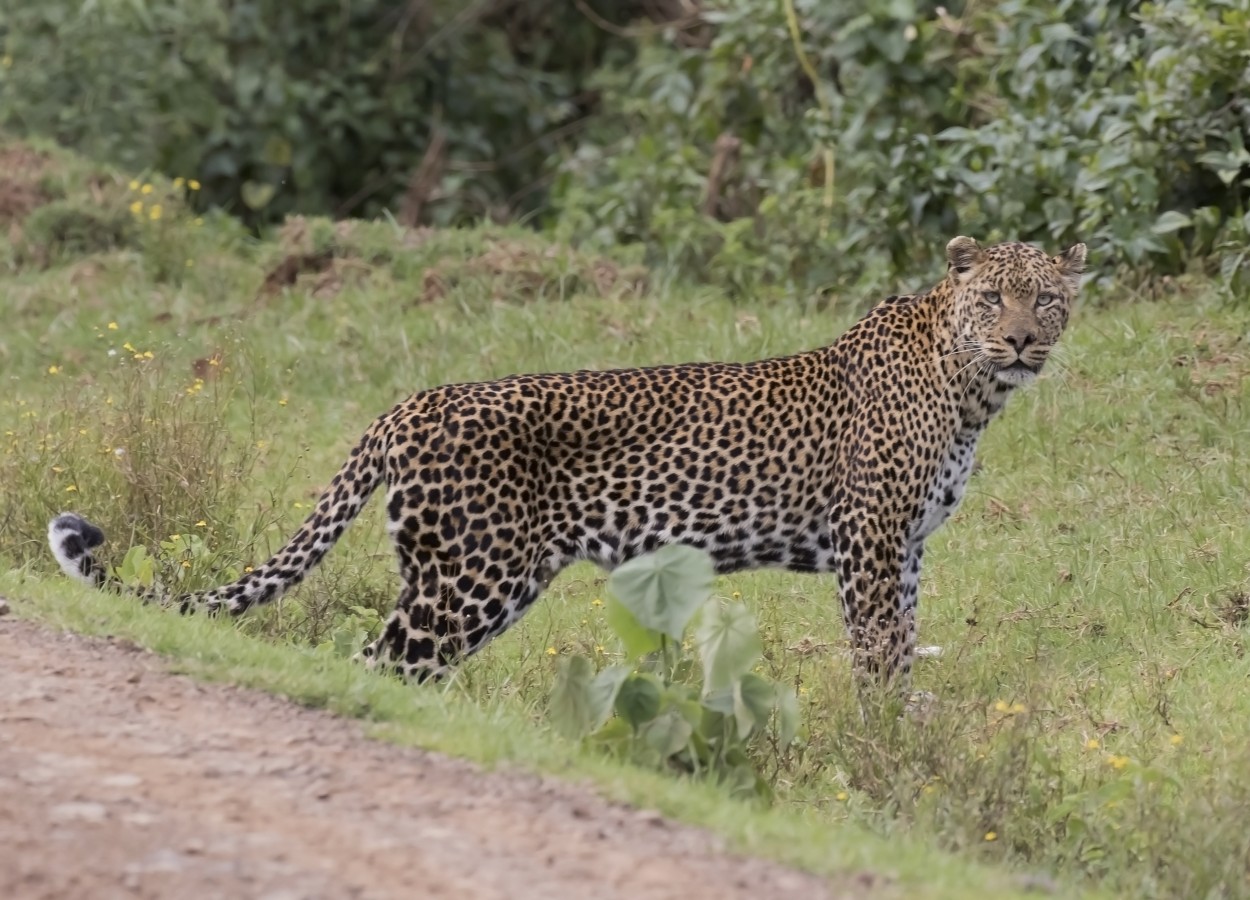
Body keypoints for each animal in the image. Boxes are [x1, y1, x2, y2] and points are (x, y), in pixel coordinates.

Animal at [48, 235, 1085, 685]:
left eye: (1046, 299)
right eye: (992, 298)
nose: (1023, 341)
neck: (970, 389)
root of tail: (411, 401)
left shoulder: (905, 552)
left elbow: (902, 652)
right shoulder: (870, 546)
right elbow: (879, 660)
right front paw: (887, 752)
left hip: (479, 582)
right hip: (468, 578)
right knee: (382, 661)